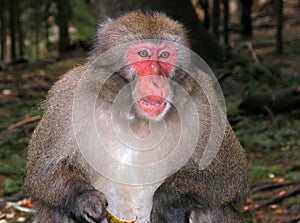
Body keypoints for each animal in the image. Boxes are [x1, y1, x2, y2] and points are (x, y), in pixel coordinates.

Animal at [24, 11, 248, 222]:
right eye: (143, 53)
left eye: (165, 54)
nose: (157, 79)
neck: (137, 117)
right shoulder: (69, 98)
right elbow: (43, 173)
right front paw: (85, 199)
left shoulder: (204, 103)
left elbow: (228, 175)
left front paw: (167, 201)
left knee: (210, 206)